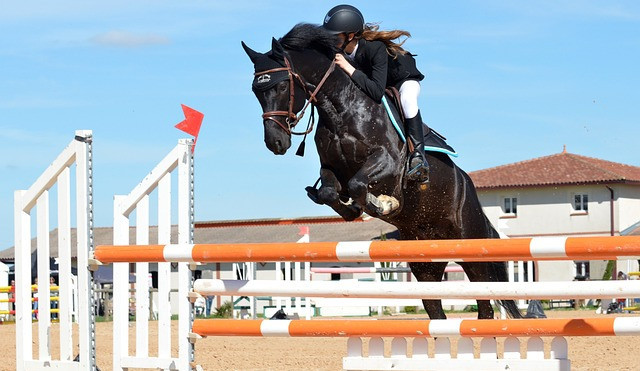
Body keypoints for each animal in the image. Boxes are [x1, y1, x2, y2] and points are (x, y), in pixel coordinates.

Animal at [241, 24, 520, 320]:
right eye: (256, 91)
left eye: (283, 85)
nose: (275, 143)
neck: (341, 109)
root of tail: (468, 184)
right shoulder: (331, 169)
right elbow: (331, 192)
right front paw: (353, 210)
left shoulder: (388, 162)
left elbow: (359, 184)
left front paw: (384, 204)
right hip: (425, 262)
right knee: (437, 311)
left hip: (471, 247)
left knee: (485, 305)